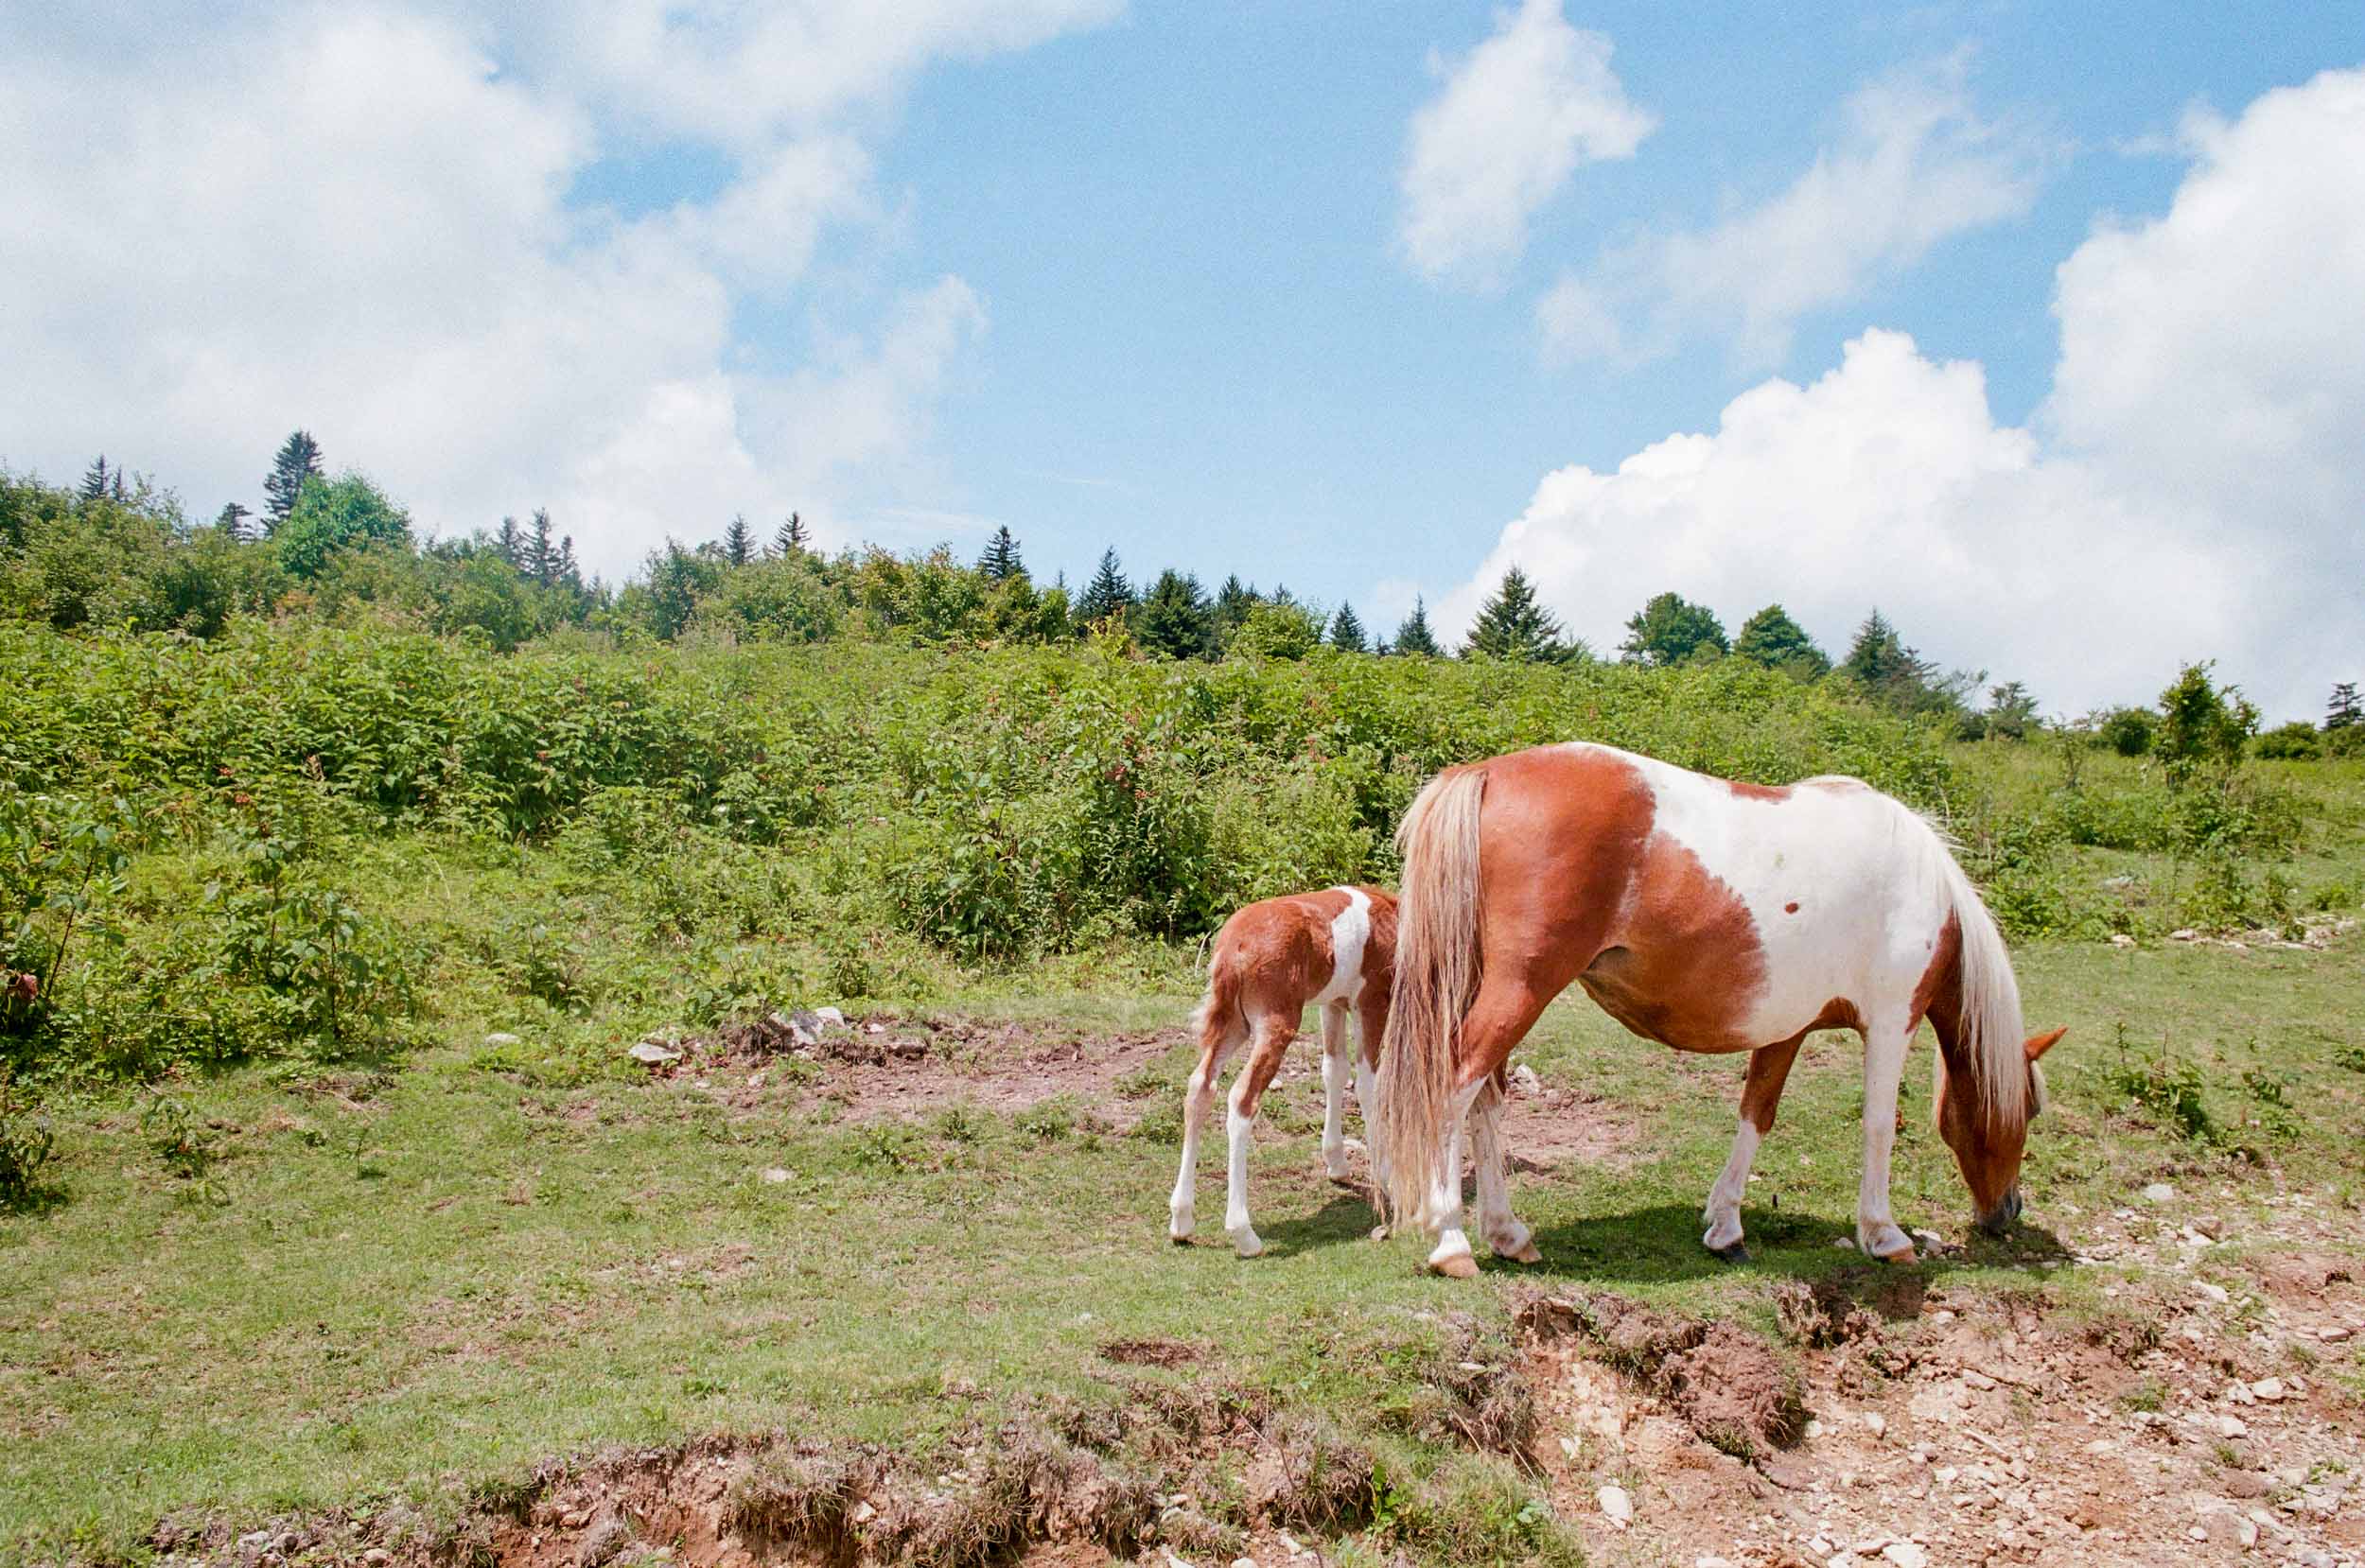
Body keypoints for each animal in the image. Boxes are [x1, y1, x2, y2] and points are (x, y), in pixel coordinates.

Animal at [1168, 885, 1398, 1257]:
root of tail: (1233, 948)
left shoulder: (1333, 1003)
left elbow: (1334, 1069)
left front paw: (1337, 1164)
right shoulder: (1371, 1000)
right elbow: (1369, 1083)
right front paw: (1387, 1178)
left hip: (1233, 1024)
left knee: (1200, 1087)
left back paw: (1181, 1221)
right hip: (1275, 1022)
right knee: (1241, 1099)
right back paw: (1244, 1234)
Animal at [1374, 742, 2065, 1278]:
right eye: (2029, 1110)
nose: (2008, 1213)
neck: (1922, 887)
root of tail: (1488, 772)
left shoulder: (1787, 1028)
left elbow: (1756, 1114)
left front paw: (1726, 1227)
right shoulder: (1893, 1020)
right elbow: (1877, 1124)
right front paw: (1883, 1234)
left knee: (1484, 1099)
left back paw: (1507, 1234)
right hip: (1520, 991)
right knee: (1455, 1088)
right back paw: (1452, 1242)